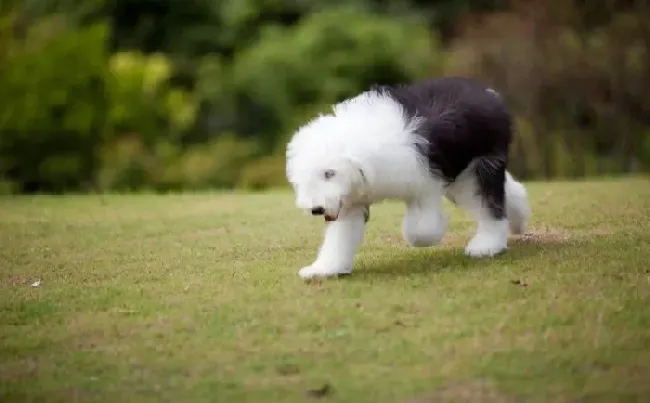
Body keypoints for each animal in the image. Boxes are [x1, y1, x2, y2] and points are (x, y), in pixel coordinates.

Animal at [286, 76, 528, 280]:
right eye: (301, 180)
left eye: (329, 173)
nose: (316, 209)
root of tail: (489, 94)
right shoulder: (350, 201)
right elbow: (340, 237)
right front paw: (324, 269)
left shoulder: (425, 185)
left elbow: (420, 230)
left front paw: (429, 234)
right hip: (463, 176)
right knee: (509, 192)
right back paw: (518, 220)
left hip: (478, 170)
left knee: (490, 208)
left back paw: (486, 246)